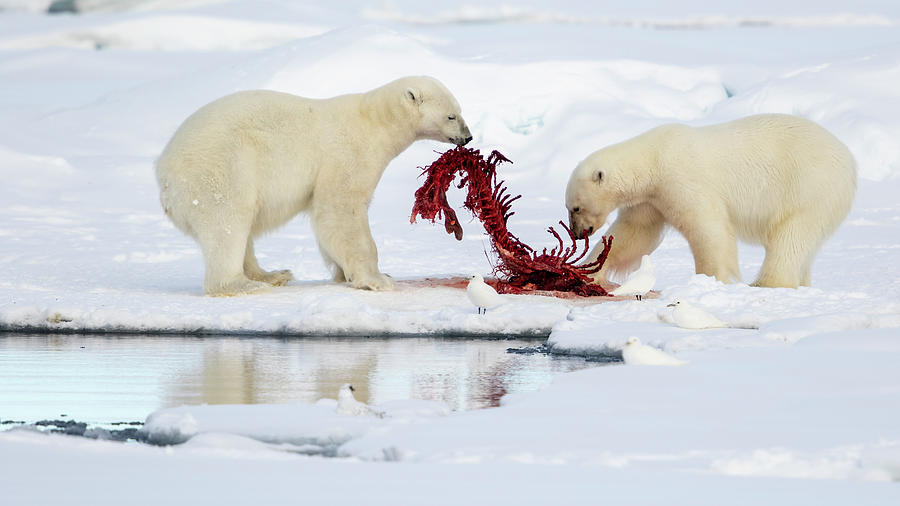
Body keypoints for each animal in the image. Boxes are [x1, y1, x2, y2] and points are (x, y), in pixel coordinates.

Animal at [157, 76, 474, 294]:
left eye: (460, 110)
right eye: (451, 115)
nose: (468, 136)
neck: (375, 121)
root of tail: (163, 174)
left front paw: (344, 274)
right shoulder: (347, 154)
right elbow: (340, 208)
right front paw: (378, 279)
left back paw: (272, 274)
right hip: (221, 168)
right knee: (227, 221)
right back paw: (244, 284)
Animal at [568, 114, 856, 288]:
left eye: (576, 207)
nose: (577, 232)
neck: (653, 159)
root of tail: (849, 161)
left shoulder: (682, 179)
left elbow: (708, 230)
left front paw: (711, 280)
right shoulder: (651, 199)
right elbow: (634, 234)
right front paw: (589, 271)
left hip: (809, 188)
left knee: (791, 237)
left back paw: (765, 283)